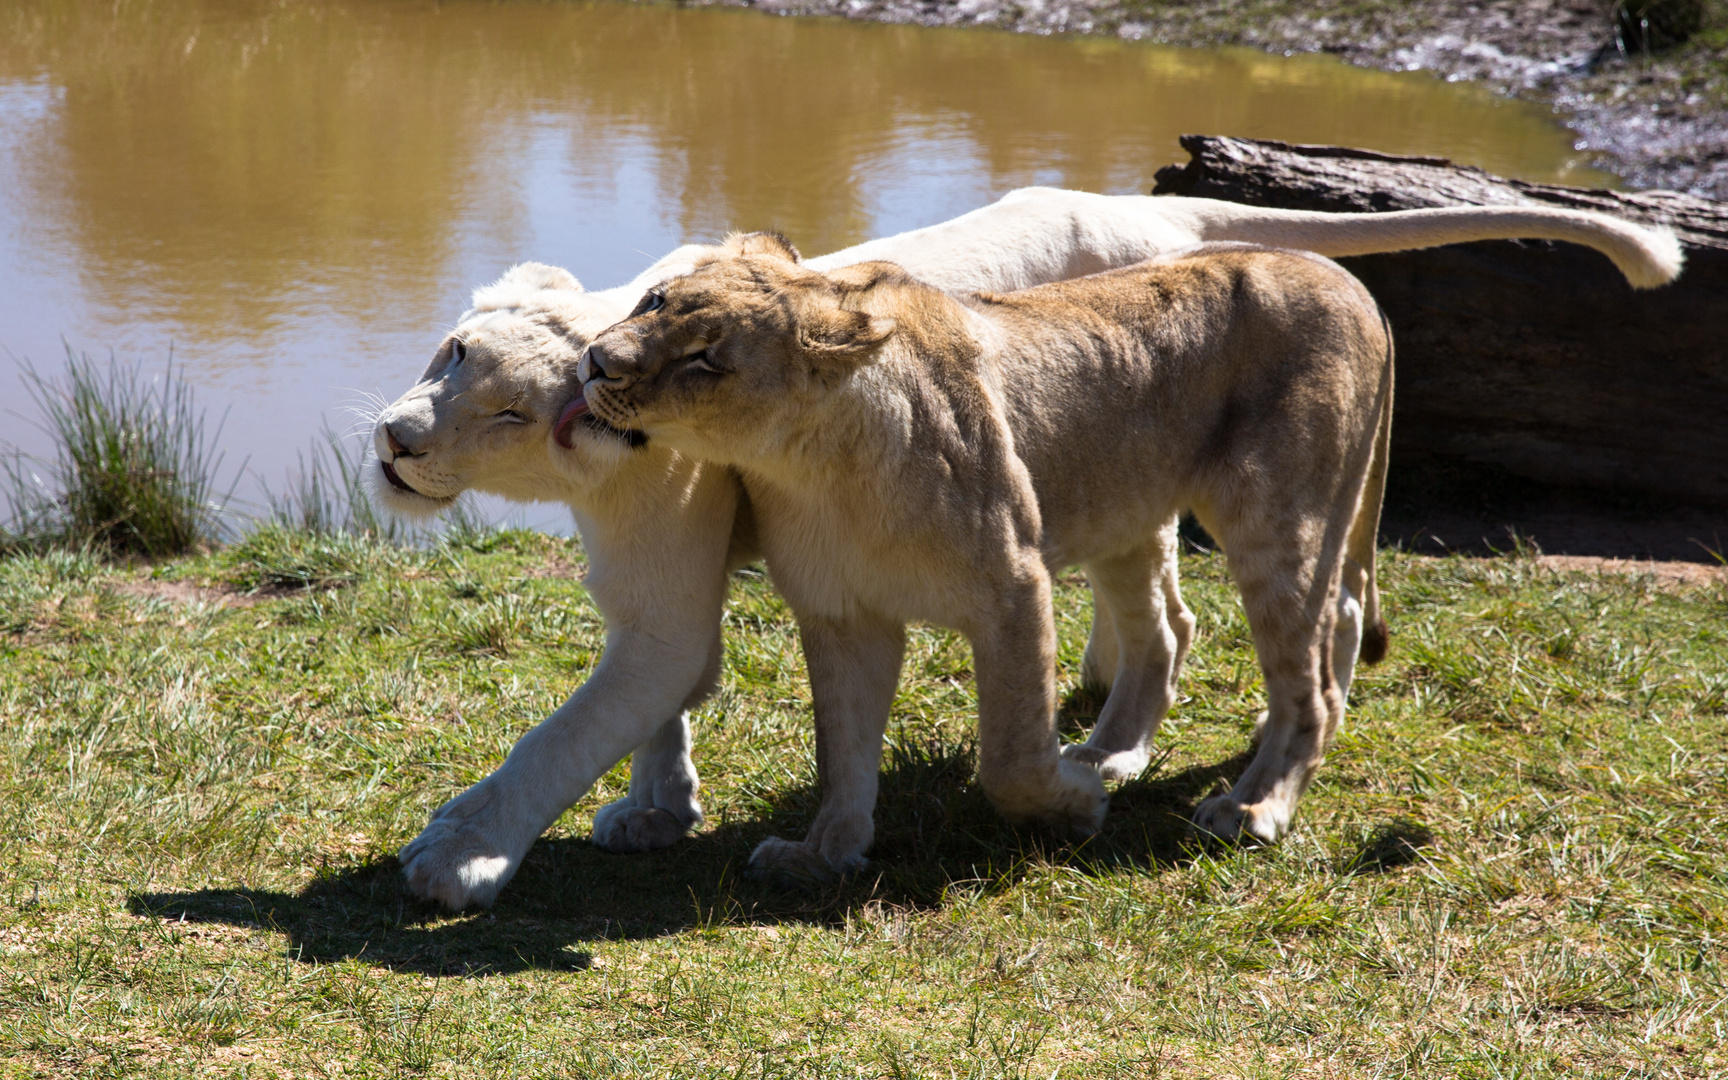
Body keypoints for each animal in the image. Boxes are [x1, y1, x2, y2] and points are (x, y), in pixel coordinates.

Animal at [381, 183, 1686, 898]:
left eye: (513, 411)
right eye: (451, 351)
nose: (395, 440)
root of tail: (1158, 208)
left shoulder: (975, 585)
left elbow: (581, 728)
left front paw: (463, 856)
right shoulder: (781, 602)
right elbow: (726, 720)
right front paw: (698, 820)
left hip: (1242, 514)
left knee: (1256, 647)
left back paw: (1235, 800)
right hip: (1129, 497)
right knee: (1217, 627)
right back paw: (1115, 740)